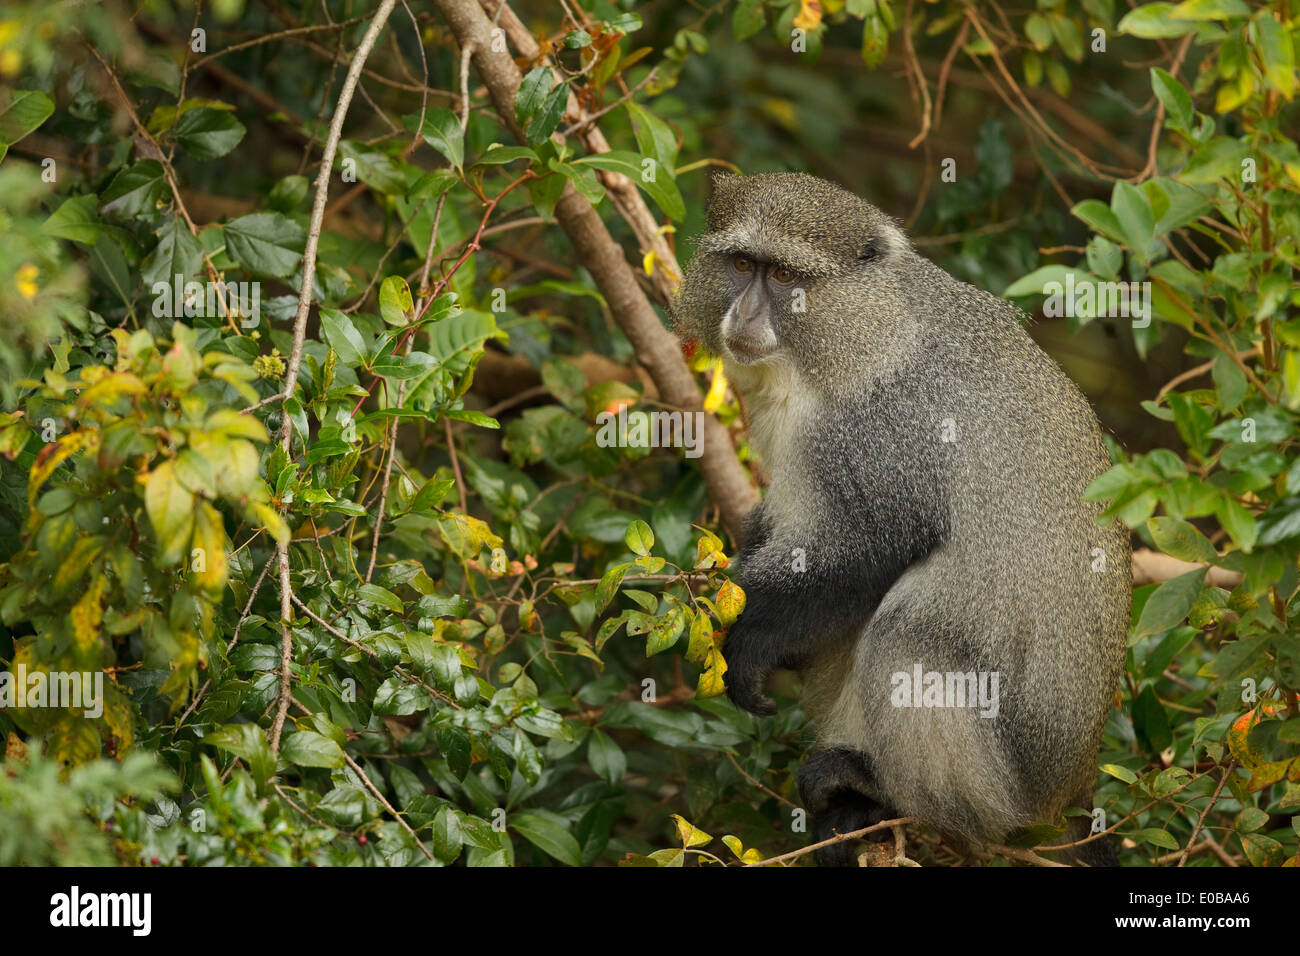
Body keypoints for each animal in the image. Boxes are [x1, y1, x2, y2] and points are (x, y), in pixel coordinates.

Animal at [676, 171, 1133, 868]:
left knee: (910, 632)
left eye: (784, 277)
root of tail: (1071, 790)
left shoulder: (882, 433)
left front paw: (749, 643)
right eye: (743, 265)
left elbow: (871, 547)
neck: (865, 335)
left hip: (1011, 779)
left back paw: (887, 792)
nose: (745, 315)